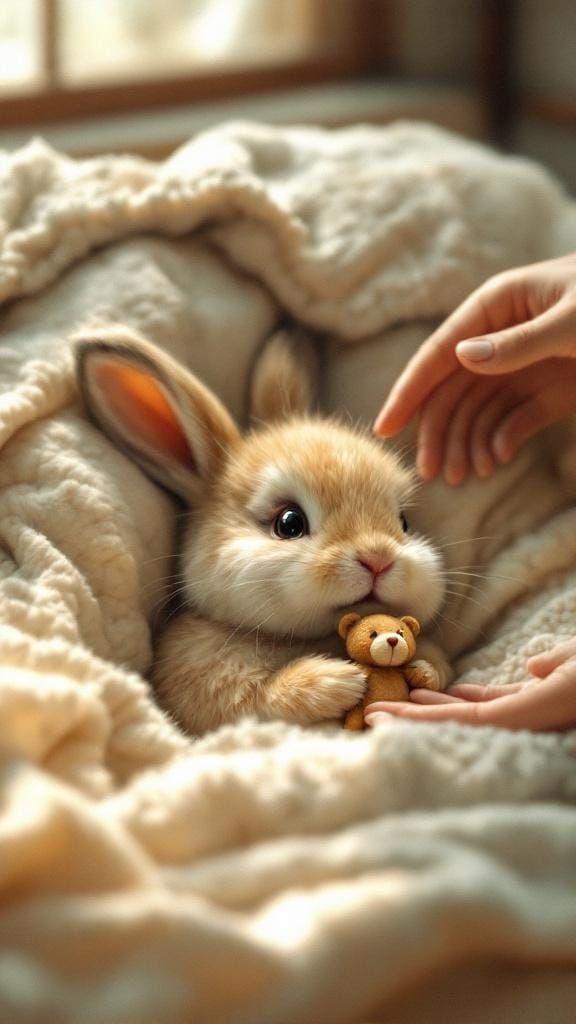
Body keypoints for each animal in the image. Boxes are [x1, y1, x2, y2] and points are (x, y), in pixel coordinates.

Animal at [75, 325, 451, 735]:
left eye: (403, 521)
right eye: (288, 523)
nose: (378, 559)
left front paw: (425, 671)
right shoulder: (217, 689)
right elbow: (266, 697)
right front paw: (341, 680)